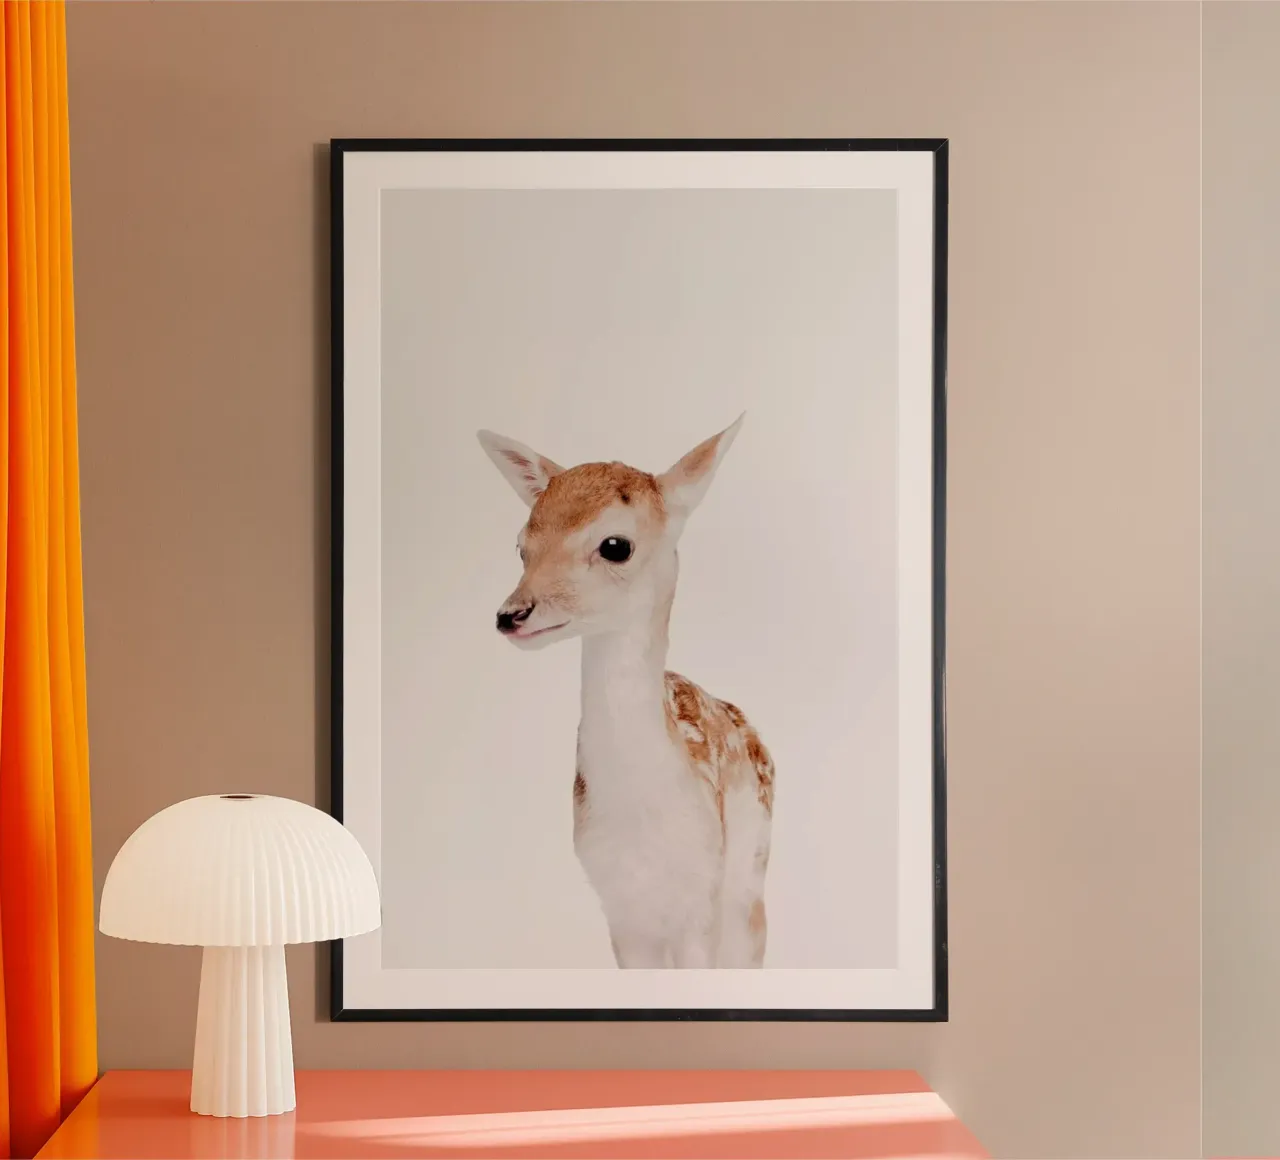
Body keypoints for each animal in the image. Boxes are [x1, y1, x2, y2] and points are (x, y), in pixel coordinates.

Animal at [478, 416, 775, 969]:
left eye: (616, 545)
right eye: (521, 545)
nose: (511, 614)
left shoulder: (700, 900)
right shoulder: (620, 909)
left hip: (750, 870)